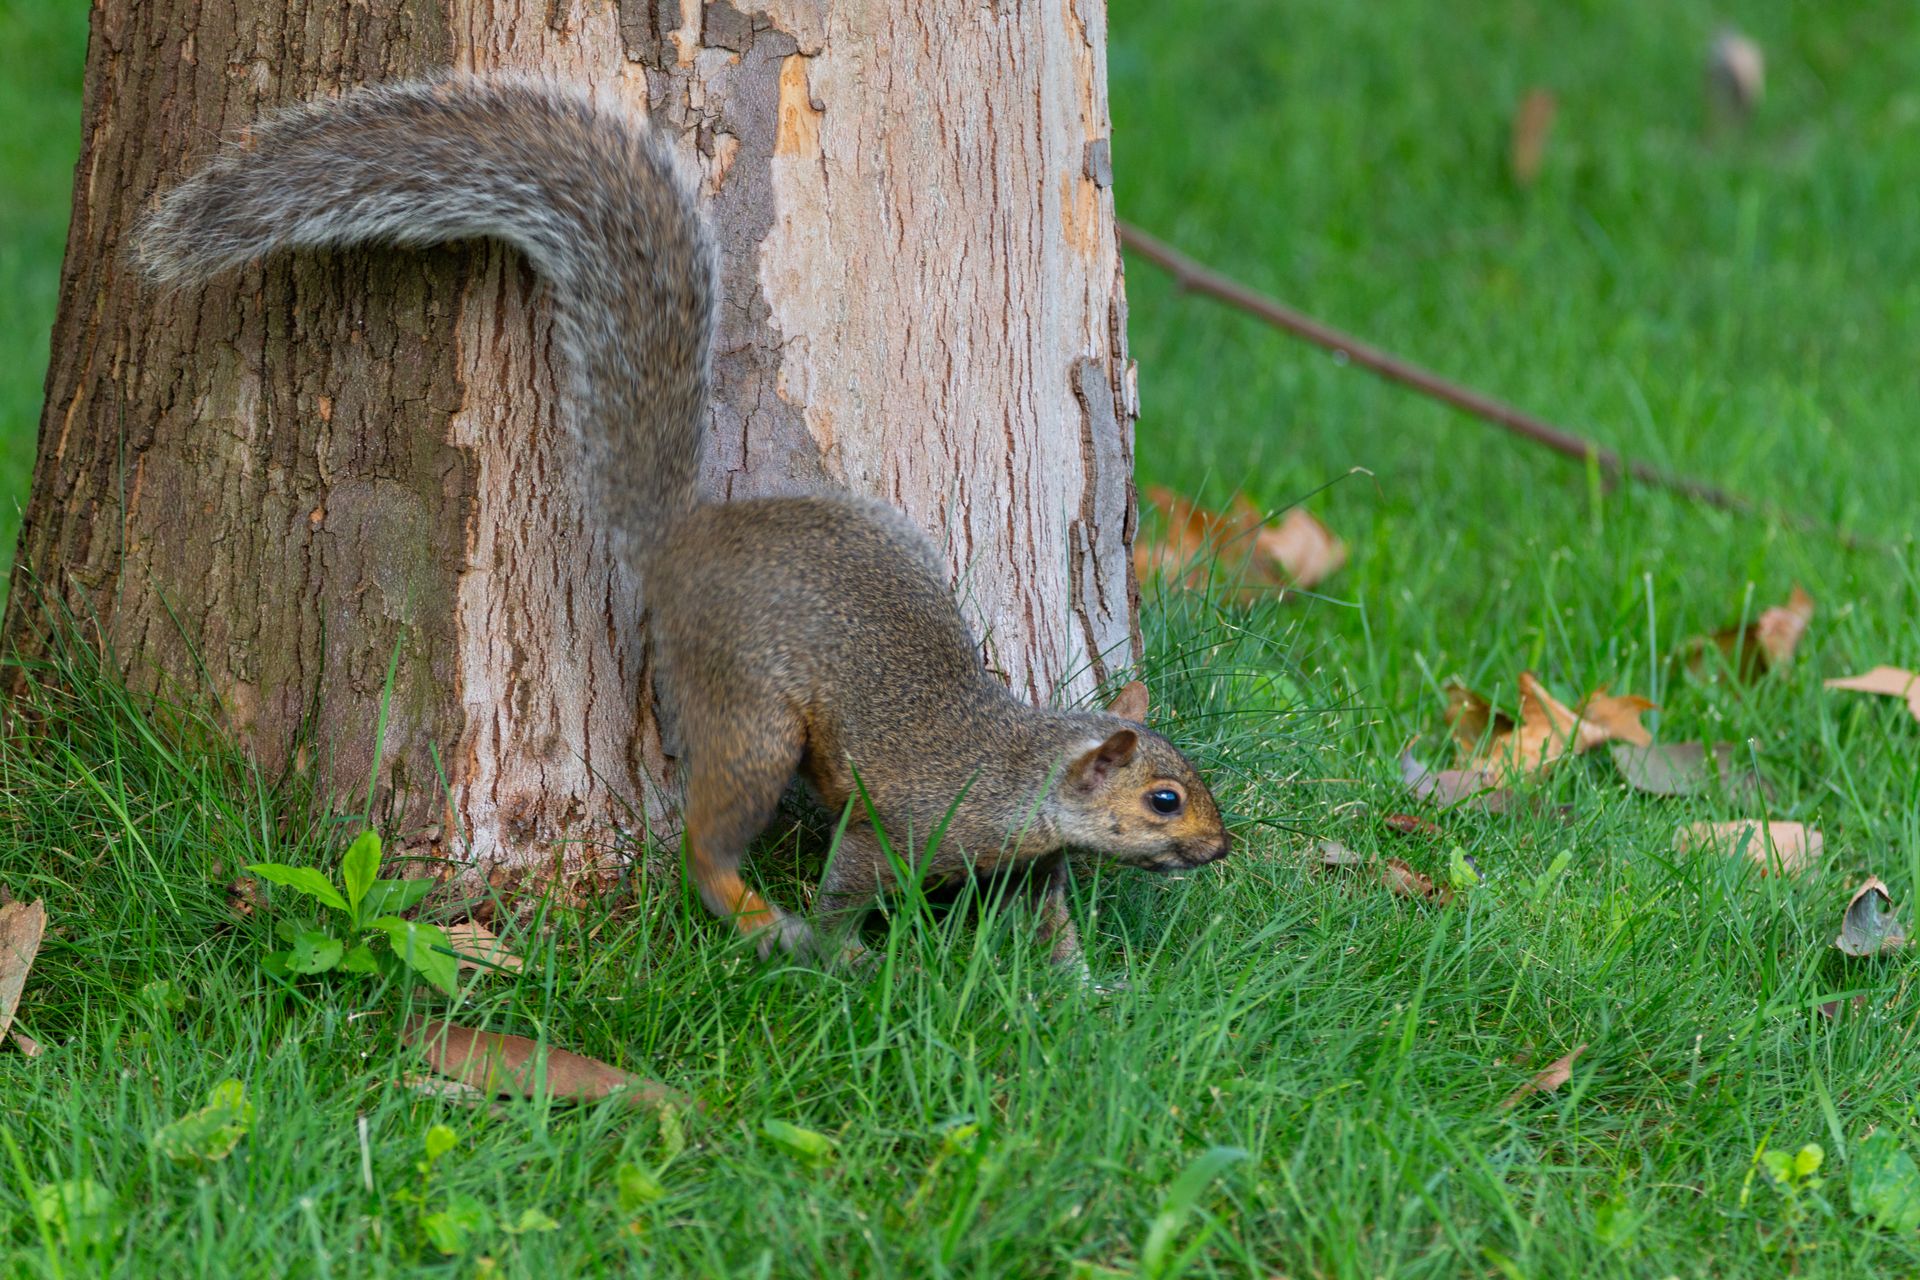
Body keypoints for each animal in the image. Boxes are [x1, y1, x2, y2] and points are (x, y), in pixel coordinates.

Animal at [137, 78, 1232, 965]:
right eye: (1163, 799)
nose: (1219, 847)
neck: (1019, 770)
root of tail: (686, 542)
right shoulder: (914, 824)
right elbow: (854, 878)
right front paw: (844, 949)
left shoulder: (1033, 860)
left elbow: (1047, 916)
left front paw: (1081, 984)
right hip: (746, 708)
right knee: (709, 840)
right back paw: (756, 919)